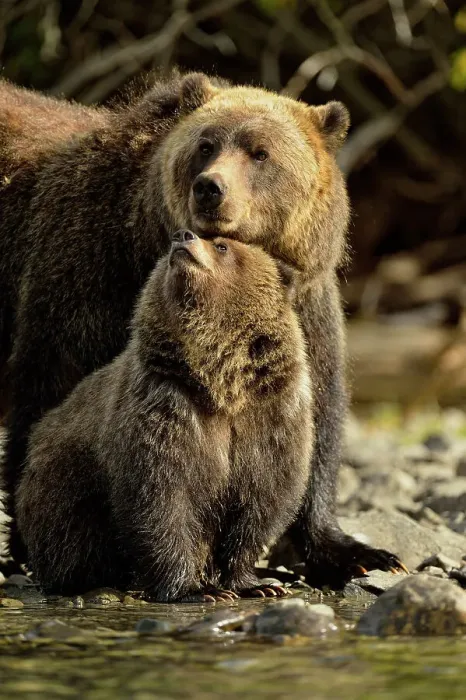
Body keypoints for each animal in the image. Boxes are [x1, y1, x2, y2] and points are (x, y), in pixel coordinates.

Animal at [16, 231, 313, 600]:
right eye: (213, 241)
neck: (222, 385)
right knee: (72, 534)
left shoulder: (271, 416)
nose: (184, 236)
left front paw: (256, 585)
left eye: (222, 246)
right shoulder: (165, 408)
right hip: (63, 484)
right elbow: (162, 499)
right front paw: (197, 590)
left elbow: (261, 501)